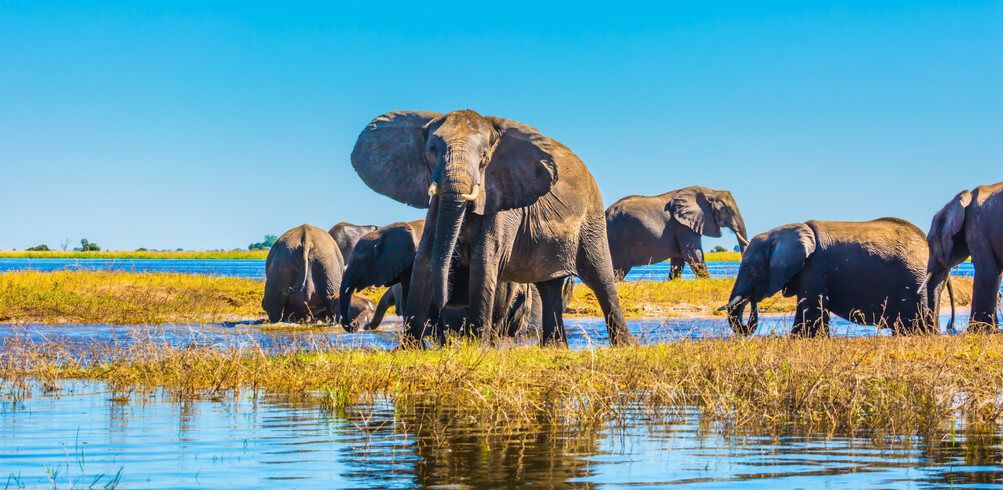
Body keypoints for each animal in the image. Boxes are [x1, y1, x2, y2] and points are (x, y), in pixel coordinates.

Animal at [353, 108, 633, 346]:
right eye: (432, 149)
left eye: (484, 156)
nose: (444, 302)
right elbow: (425, 256)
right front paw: (409, 350)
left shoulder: (505, 199)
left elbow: (484, 258)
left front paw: (478, 347)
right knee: (548, 287)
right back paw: (555, 348)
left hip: (591, 219)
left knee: (600, 278)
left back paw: (625, 346)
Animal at [601, 187, 754, 278]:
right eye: (727, 211)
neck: (710, 191)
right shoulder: (682, 225)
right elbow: (693, 255)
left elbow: (679, 259)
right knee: (619, 270)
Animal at [722, 217, 930, 336]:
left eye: (748, 267)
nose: (752, 299)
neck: (778, 233)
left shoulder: (815, 267)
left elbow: (811, 317)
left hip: (914, 280)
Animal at [918, 183, 1003, 332]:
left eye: (929, 242)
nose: (950, 326)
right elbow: (995, 275)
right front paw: (992, 330)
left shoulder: (976, 229)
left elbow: (987, 274)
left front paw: (977, 331)